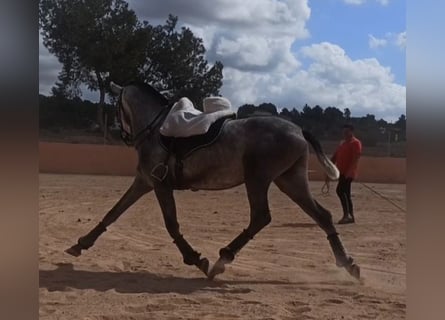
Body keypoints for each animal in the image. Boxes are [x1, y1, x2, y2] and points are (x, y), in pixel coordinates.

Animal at [66, 82, 360, 280]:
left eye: (118, 108)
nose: (123, 134)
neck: (155, 129)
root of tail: (297, 129)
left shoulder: (159, 185)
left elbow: (171, 225)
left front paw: (196, 259)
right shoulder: (144, 181)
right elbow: (114, 212)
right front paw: (80, 244)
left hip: (259, 179)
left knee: (261, 217)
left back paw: (222, 260)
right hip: (290, 180)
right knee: (321, 215)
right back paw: (348, 263)